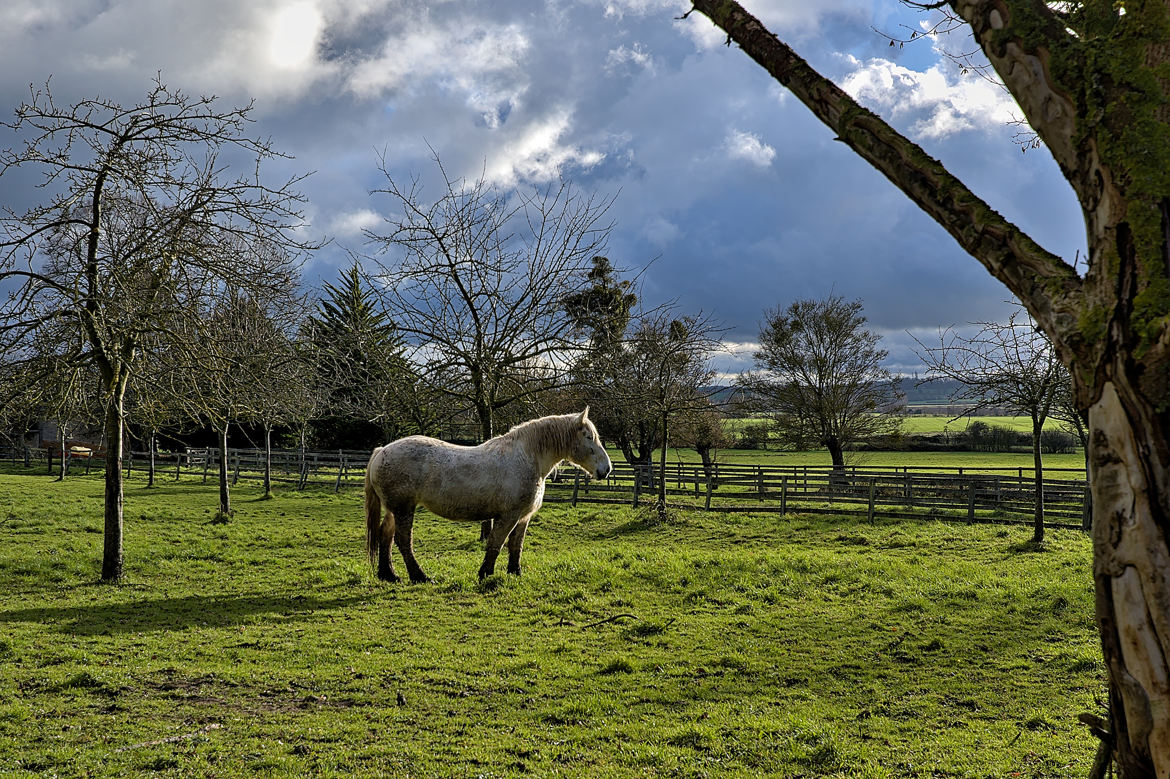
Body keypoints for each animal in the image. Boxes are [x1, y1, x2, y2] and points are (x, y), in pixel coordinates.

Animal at [362, 409, 613, 580]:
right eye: (588, 437)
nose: (606, 469)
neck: (526, 457)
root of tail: (382, 451)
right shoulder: (509, 515)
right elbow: (496, 543)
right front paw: (485, 573)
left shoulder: (523, 517)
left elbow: (516, 545)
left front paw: (515, 572)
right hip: (404, 509)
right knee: (403, 541)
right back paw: (419, 577)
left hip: (395, 509)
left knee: (385, 535)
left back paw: (389, 575)